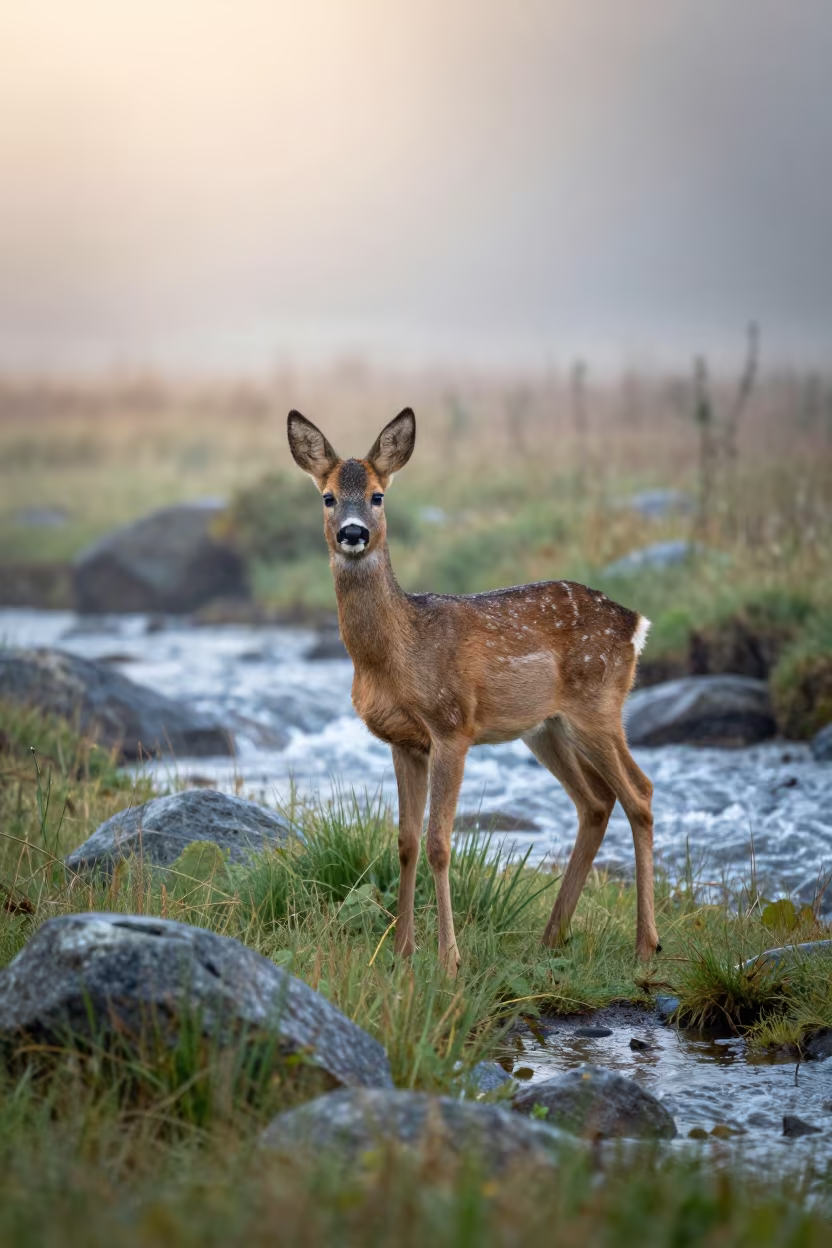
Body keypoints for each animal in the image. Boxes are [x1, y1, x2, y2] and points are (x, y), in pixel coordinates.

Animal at [287, 407, 658, 977]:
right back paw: (551, 937)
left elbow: (440, 843)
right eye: (327, 497)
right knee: (596, 802)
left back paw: (645, 945)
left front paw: (448, 959)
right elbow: (405, 841)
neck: (399, 653)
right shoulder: (403, 741)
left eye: (377, 495)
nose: (353, 533)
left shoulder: (452, 725)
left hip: (597, 705)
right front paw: (402, 951)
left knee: (640, 792)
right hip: (544, 728)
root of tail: (634, 623)